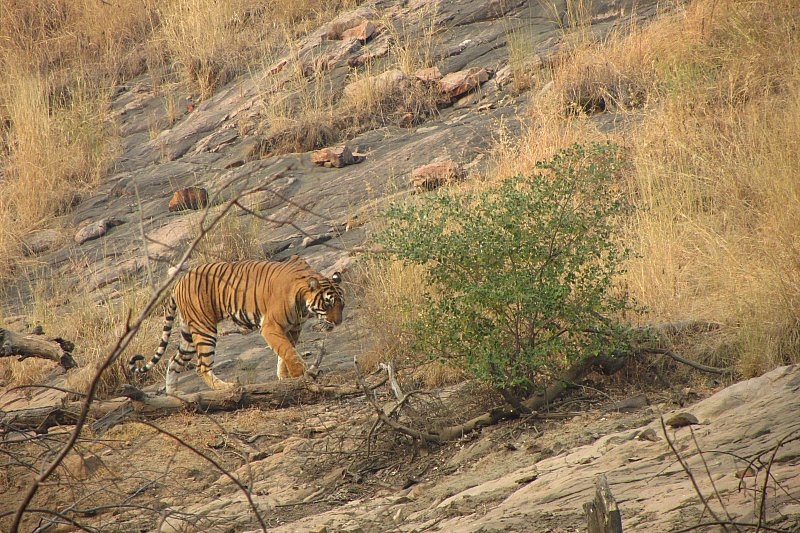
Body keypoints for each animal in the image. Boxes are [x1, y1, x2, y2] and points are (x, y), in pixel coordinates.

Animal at [129, 256, 344, 392]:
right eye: (327, 304)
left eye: (341, 304)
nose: (338, 322)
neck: (303, 303)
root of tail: (178, 283)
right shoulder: (271, 326)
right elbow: (288, 351)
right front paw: (300, 374)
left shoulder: (293, 328)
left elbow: (285, 352)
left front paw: (285, 377)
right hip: (204, 329)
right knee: (201, 367)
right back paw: (228, 387)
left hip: (188, 335)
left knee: (174, 361)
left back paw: (175, 395)